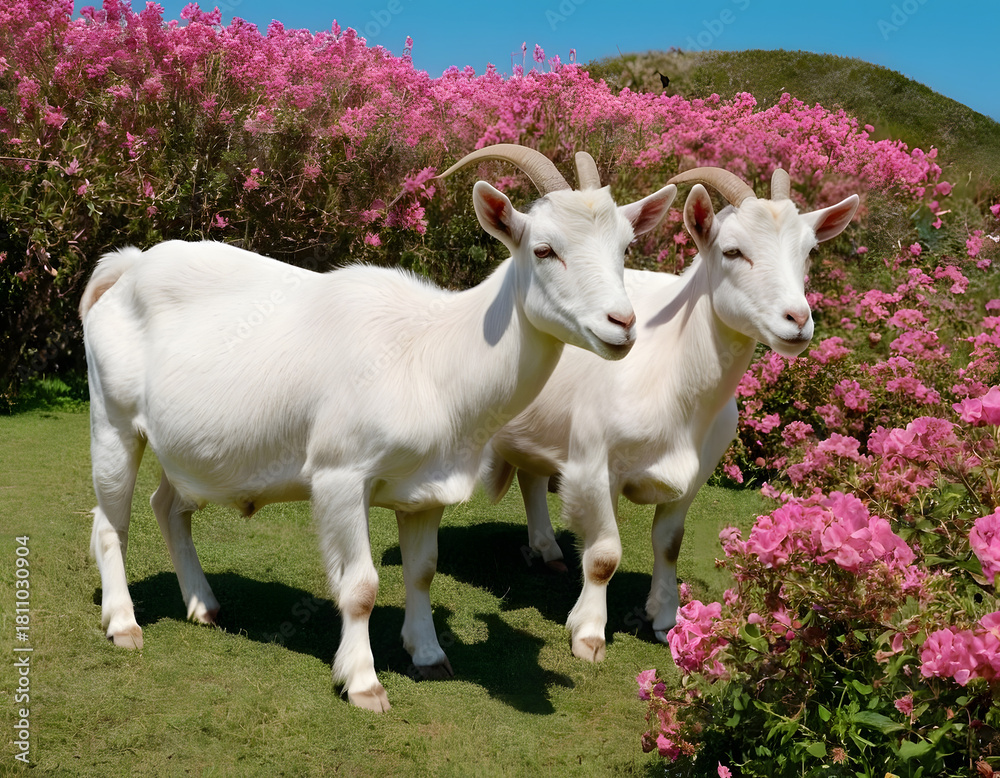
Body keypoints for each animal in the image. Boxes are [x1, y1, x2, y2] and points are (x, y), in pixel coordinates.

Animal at [79, 143, 677, 711]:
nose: (622, 324)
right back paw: (124, 623)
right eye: (545, 250)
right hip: (112, 420)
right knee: (110, 521)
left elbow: (423, 571)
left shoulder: (427, 489)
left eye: (625, 248)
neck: (430, 355)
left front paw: (429, 655)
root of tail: (127, 268)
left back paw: (203, 605)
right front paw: (363, 683)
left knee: (167, 505)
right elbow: (361, 586)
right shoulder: (340, 476)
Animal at [481, 167, 859, 660]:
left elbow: (669, 543)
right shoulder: (593, 465)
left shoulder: (696, 473)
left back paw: (546, 549)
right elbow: (604, 554)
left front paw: (664, 618)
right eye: (732, 251)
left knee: (531, 473)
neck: (671, 376)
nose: (797, 320)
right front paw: (588, 634)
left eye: (809, 251)